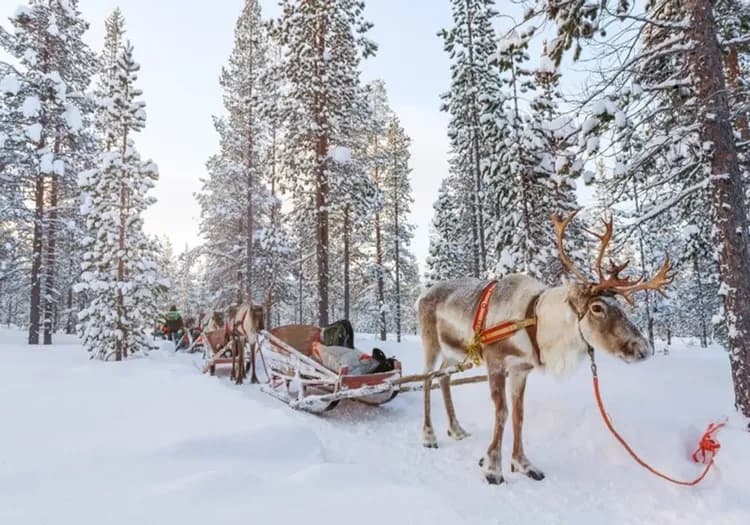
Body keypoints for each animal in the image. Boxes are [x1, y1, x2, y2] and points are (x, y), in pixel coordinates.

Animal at [415, 210, 671, 485]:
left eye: (621, 306)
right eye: (597, 307)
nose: (643, 348)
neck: (535, 322)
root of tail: (422, 295)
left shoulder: (520, 369)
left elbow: (519, 415)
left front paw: (523, 464)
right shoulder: (496, 362)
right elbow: (502, 412)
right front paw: (492, 467)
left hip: (453, 353)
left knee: (443, 378)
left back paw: (456, 429)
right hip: (431, 343)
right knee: (427, 378)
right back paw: (429, 436)